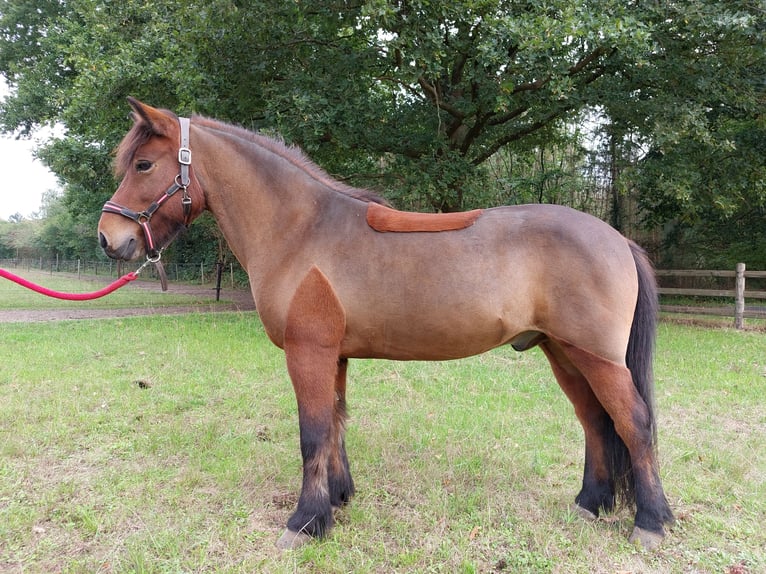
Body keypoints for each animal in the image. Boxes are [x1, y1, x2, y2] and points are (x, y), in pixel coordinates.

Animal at [98, 98, 673, 550]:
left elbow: (312, 431)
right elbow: (335, 424)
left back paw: (650, 522)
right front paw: (337, 501)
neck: (301, 229)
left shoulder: (307, 352)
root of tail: (617, 238)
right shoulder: (333, 355)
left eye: (144, 164)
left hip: (596, 357)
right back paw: (590, 504)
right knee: (596, 422)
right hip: (564, 352)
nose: (109, 237)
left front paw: (304, 522)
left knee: (634, 423)